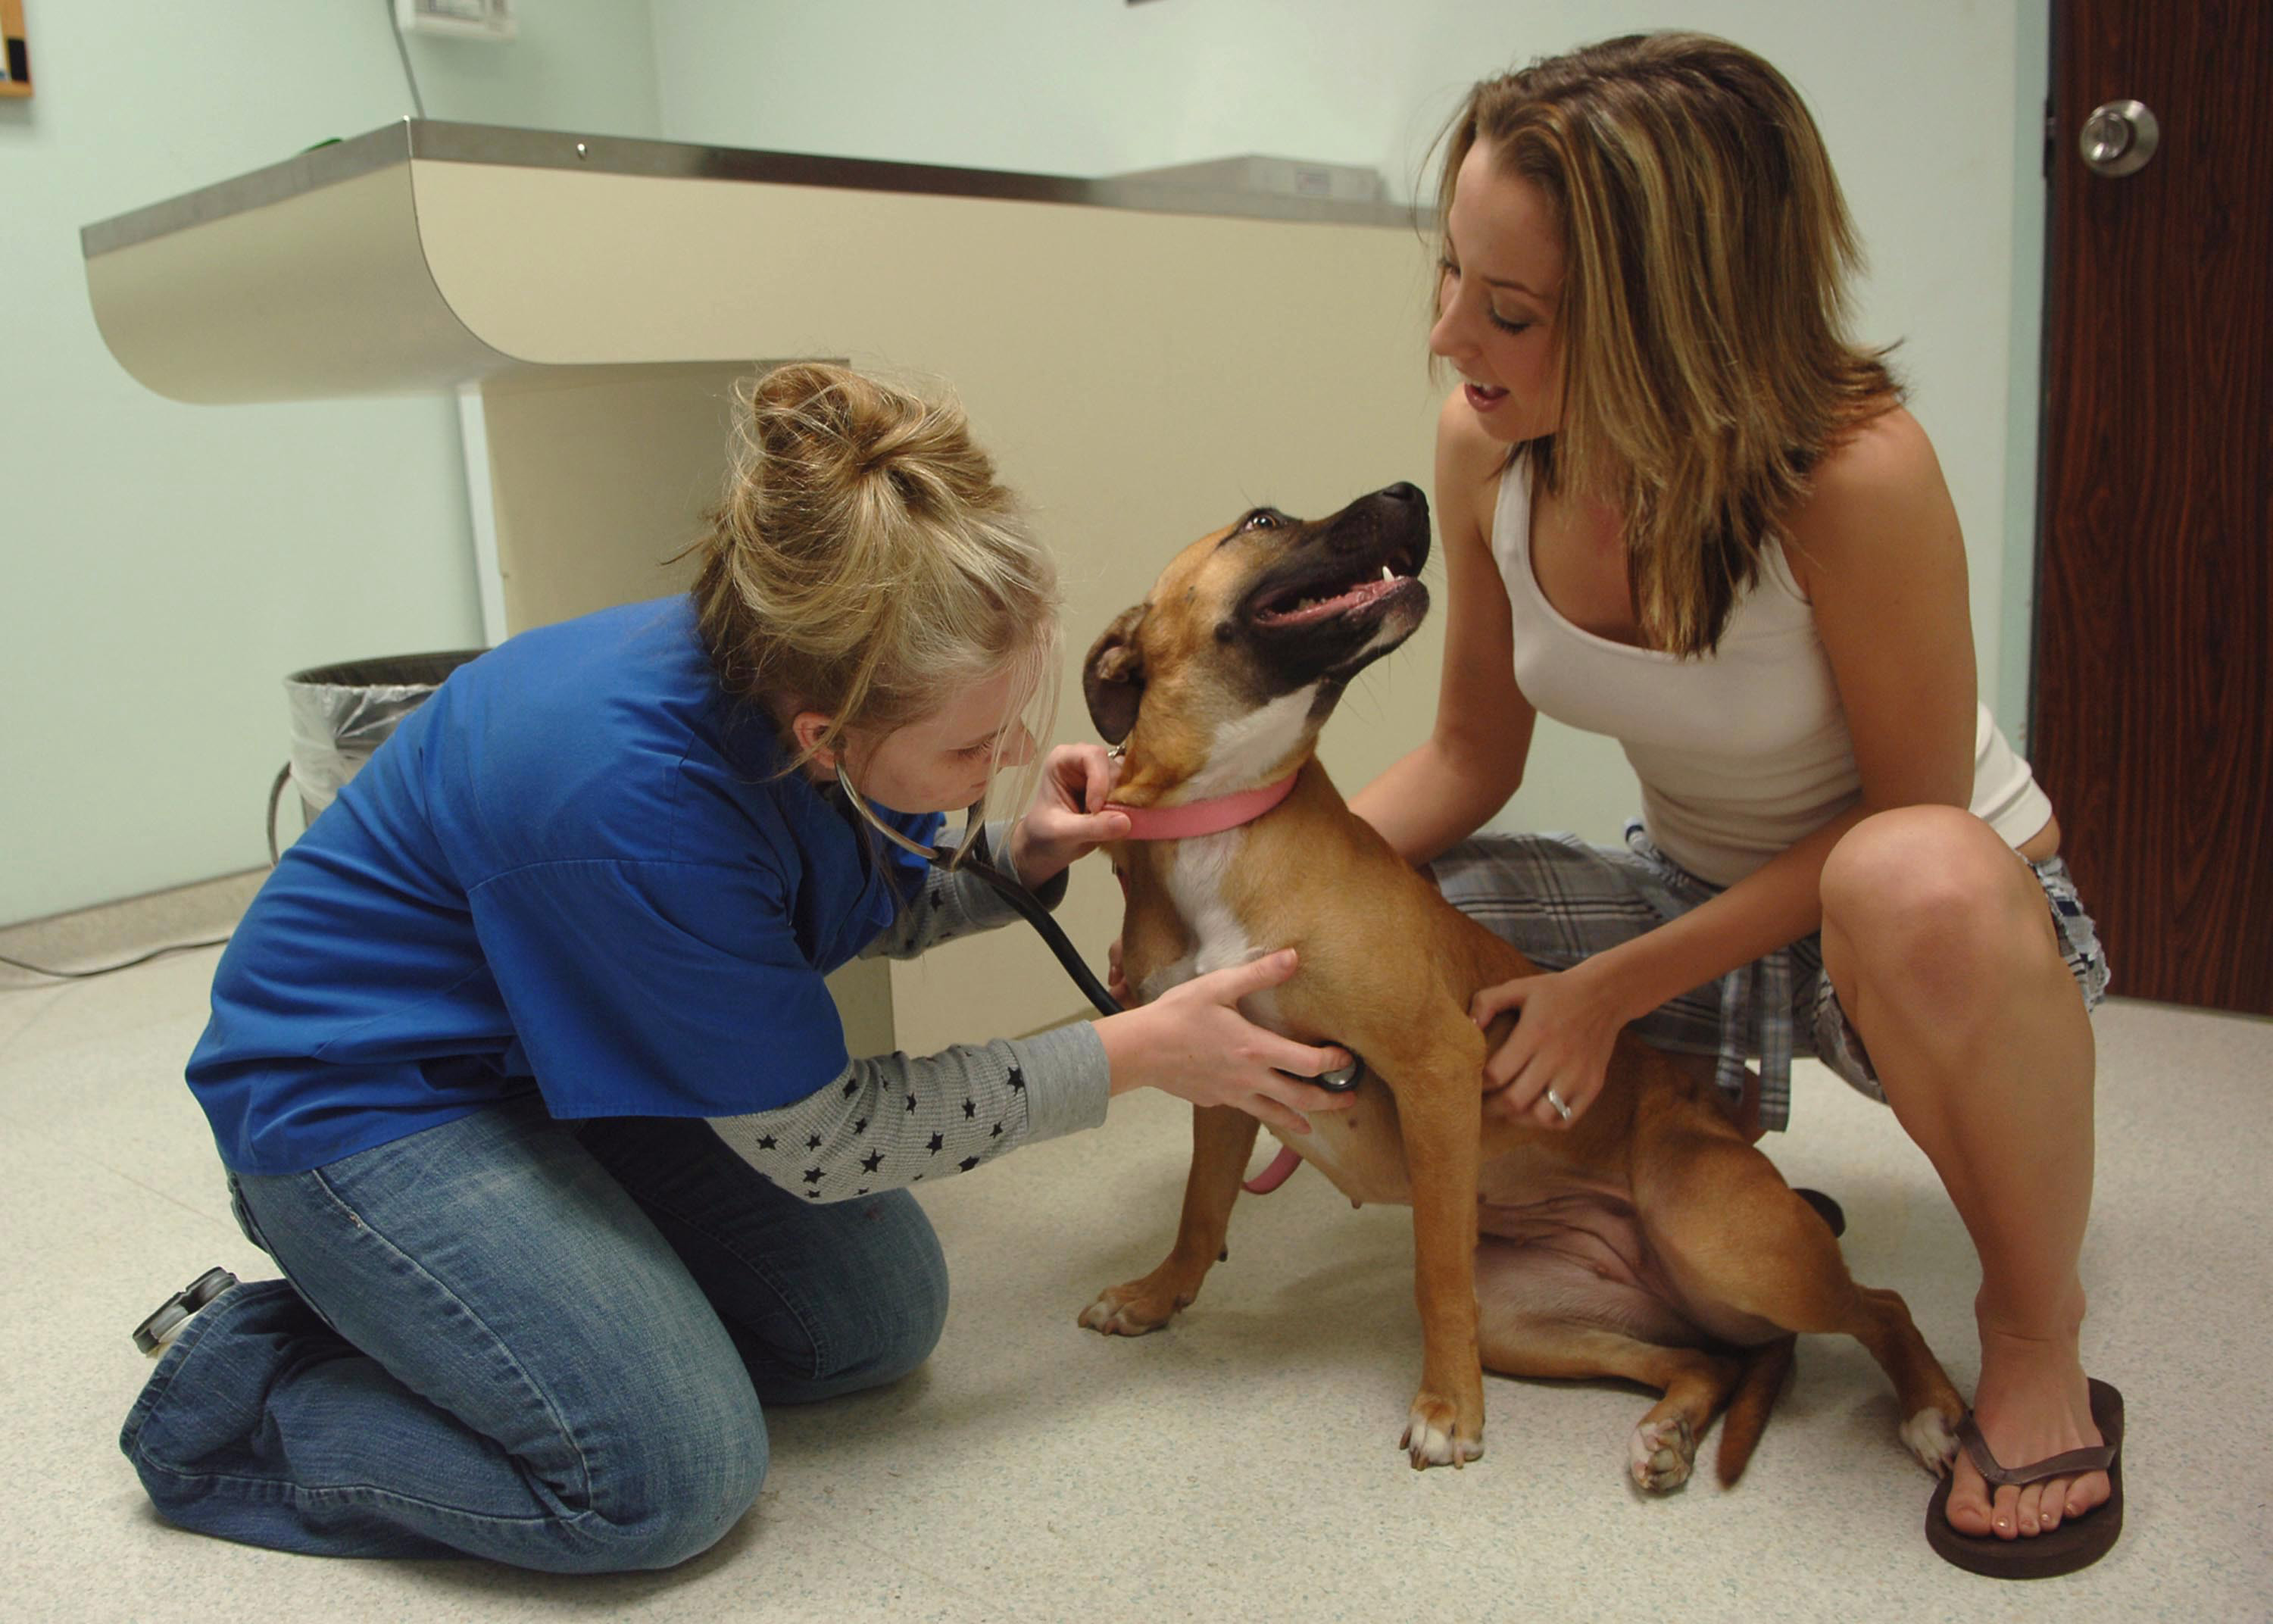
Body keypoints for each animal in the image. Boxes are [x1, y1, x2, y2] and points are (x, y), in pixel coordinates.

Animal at [1072, 477, 1963, 1482]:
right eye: (1261, 523)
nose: (1409, 491)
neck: (1223, 817)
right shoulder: (1228, 1076)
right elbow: (1200, 1207)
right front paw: (1156, 1294)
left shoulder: (1435, 1064)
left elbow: (1435, 1271)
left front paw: (1447, 1408)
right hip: (1537, 1317)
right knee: (1707, 1358)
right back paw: (1670, 1430)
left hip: (1725, 1236)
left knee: (1878, 1304)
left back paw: (1931, 1412)